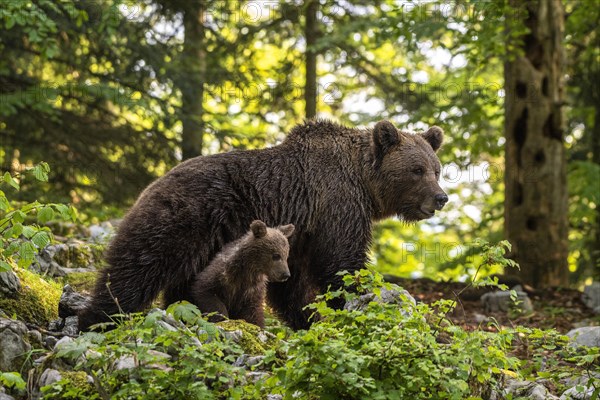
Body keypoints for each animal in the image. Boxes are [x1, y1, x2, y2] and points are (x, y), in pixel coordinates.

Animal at [78, 119, 446, 332]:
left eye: (436, 169)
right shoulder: (337, 205)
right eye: (416, 170)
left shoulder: (300, 234)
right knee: (137, 265)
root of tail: (154, 182)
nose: (440, 198)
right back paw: (97, 319)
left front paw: (307, 319)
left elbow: (292, 285)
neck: (364, 182)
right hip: (183, 219)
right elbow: (342, 263)